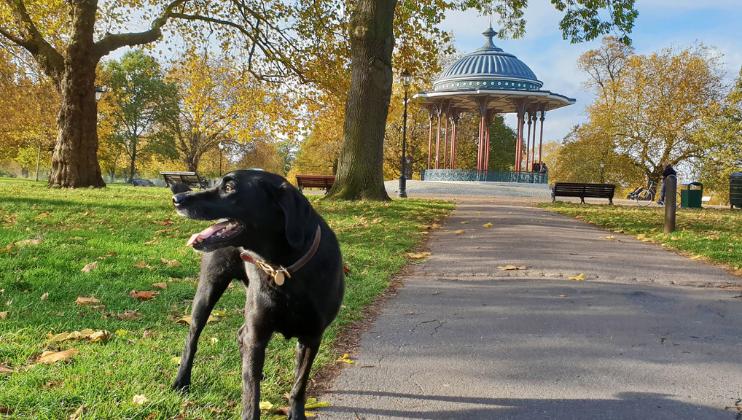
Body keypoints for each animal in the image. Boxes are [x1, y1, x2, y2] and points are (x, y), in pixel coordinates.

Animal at [170, 171, 344, 420]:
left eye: (229, 188)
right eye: (215, 183)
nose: (177, 199)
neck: (283, 267)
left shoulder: (311, 336)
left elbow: (299, 384)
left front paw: (296, 413)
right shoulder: (258, 332)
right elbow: (251, 393)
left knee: (241, 335)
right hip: (208, 289)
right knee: (193, 337)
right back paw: (182, 380)